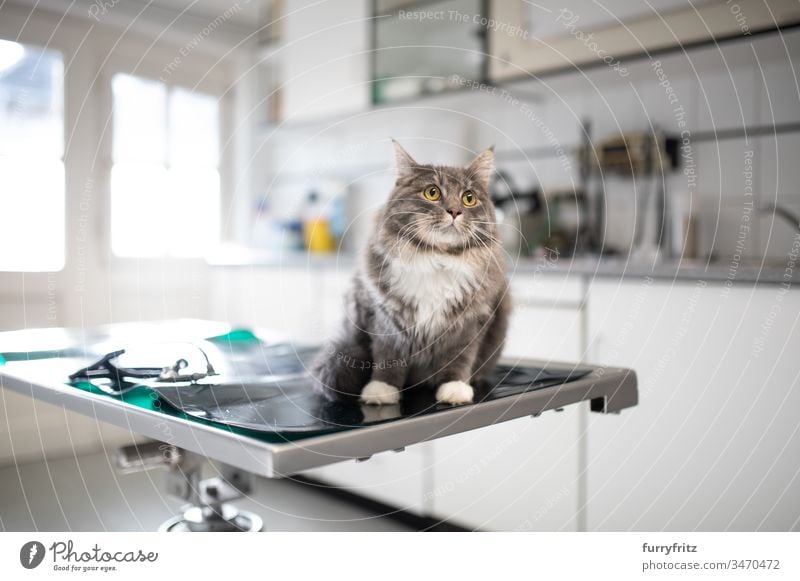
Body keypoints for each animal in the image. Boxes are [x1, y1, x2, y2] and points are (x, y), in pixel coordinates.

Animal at [310, 140, 510, 404]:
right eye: (432, 193)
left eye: (469, 198)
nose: (455, 211)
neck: (436, 258)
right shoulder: (384, 316)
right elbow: (388, 356)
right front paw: (381, 390)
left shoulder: (472, 320)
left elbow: (460, 357)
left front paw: (455, 388)